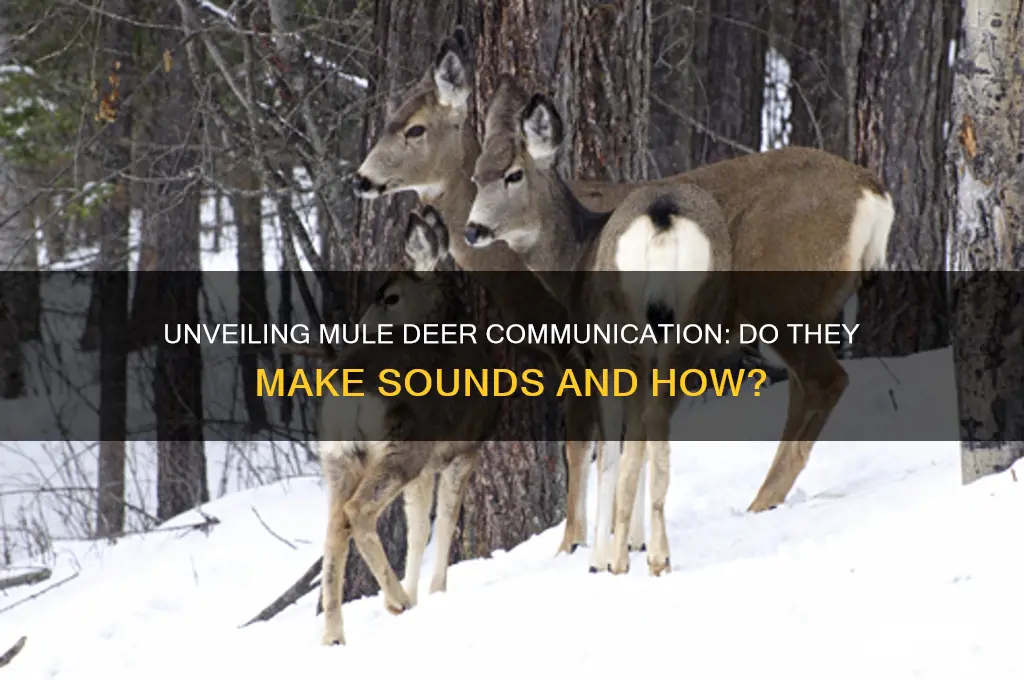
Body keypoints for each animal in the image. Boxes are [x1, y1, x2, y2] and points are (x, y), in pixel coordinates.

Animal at [319, 206, 501, 645]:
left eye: (389, 296)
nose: (355, 330)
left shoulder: (429, 466)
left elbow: (417, 527)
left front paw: (420, 592)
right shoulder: (463, 448)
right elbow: (446, 521)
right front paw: (435, 591)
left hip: (337, 456)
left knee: (333, 531)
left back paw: (333, 634)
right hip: (402, 445)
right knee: (358, 511)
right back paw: (395, 601)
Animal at [464, 76, 895, 575]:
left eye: (513, 174)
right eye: (476, 176)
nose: (472, 229)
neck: (578, 253)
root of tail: (875, 195)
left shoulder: (599, 353)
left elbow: (605, 452)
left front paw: (600, 553)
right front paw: (631, 543)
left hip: (774, 303)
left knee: (825, 381)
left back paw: (746, 508)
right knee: (787, 391)